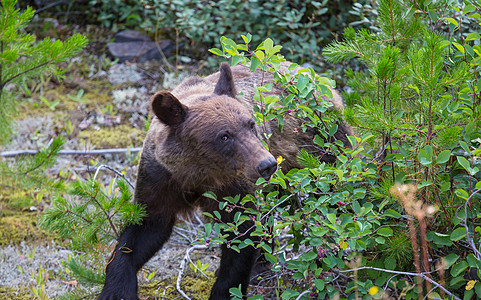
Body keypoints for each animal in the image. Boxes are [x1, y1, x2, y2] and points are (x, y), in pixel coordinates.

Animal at [98, 62, 352, 298]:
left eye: (251, 124)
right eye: (224, 136)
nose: (267, 164)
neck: (198, 173)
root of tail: (311, 74)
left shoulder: (234, 188)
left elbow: (242, 236)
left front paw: (225, 290)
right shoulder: (160, 178)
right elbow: (144, 230)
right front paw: (117, 289)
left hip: (322, 144)